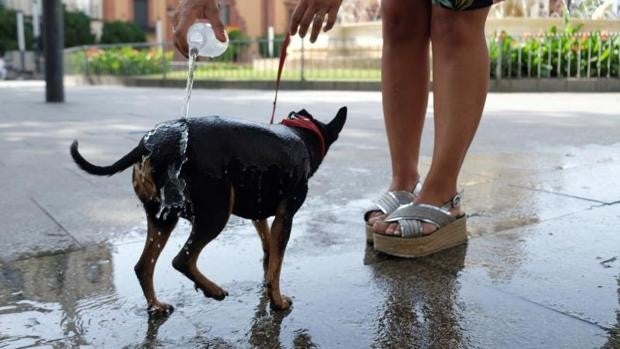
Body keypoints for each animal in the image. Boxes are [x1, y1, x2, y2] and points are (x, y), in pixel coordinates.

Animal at [71, 107, 348, 314]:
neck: (301, 133)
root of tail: (151, 144)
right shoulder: (285, 216)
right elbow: (277, 265)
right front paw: (277, 301)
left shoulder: (258, 211)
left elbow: (269, 250)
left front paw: (267, 274)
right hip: (215, 212)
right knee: (182, 259)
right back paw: (213, 290)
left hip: (163, 217)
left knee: (143, 266)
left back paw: (156, 306)